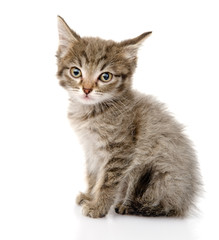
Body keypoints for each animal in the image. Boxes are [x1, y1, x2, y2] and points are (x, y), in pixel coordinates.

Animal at [57, 15, 202, 218]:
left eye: (106, 76)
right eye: (76, 72)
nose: (86, 89)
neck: (93, 112)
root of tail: (185, 201)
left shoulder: (121, 150)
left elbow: (108, 181)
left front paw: (98, 207)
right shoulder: (92, 150)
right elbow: (94, 175)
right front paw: (90, 196)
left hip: (158, 172)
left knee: (161, 206)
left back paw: (128, 206)